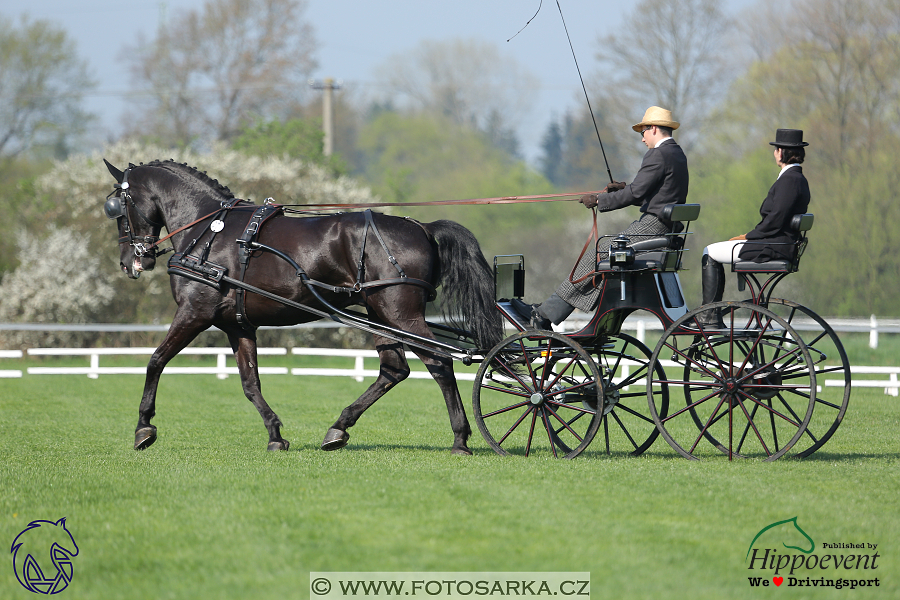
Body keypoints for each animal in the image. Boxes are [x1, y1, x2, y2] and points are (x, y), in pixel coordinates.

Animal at [103, 159, 506, 454]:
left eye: (117, 207)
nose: (130, 262)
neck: (209, 232)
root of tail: (422, 227)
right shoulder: (238, 325)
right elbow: (250, 382)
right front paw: (275, 434)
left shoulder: (194, 314)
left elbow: (155, 361)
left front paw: (144, 427)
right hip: (380, 314)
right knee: (394, 370)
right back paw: (338, 429)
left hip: (400, 315)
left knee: (440, 362)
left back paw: (460, 438)